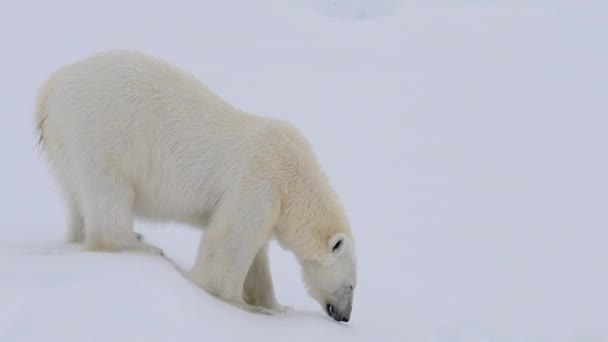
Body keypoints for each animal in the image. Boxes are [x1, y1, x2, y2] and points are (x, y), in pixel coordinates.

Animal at [36, 49, 356, 322]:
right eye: (352, 285)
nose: (345, 316)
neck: (294, 182)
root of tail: (49, 90)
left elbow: (257, 257)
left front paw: (275, 305)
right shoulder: (258, 179)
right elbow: (230, 242)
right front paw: (245, 307)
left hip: (65, 149)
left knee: (77, 201)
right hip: (100, 133)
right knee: (108, 193)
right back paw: (141, 245)